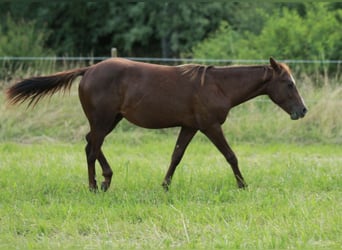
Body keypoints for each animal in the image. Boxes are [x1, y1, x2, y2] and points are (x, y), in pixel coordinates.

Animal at [6, 57, 308, 191]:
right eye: (288, 83)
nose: (302, 111)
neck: (217, 86)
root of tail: (89, 69)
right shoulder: (210, 126)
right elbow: (230, 155)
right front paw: (243, 185)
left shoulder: (190, 126)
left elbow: (176, 156)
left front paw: (165, 185)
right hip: (103, 119)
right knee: (92, 147)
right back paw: (95, 185)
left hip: (110, 119)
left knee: (90, 143)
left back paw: (106, 179)